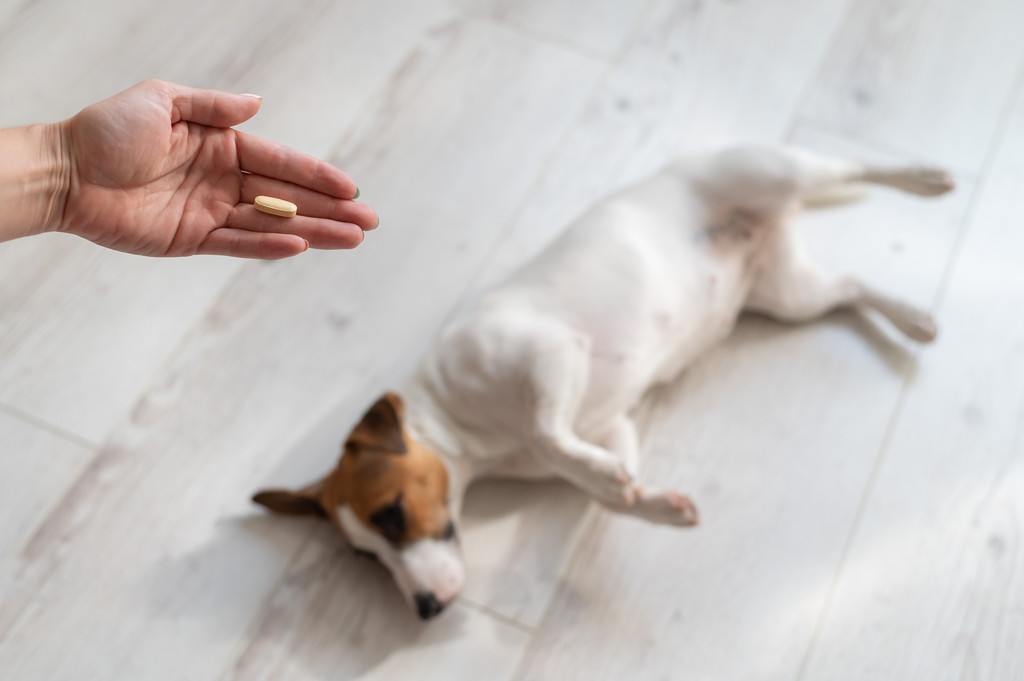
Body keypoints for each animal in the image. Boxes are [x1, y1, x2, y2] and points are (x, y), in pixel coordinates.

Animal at [251, 146, 954, 618]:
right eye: (365, 556)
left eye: (392, 515)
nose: (425, 610)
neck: (466, 431)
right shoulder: (609, 425)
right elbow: (609, 488)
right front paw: (652, 503)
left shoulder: (552, 352)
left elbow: (547, 430)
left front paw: (604, 476)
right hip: (790, 298)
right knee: (851, 289)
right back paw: (911, 316)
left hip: (777, 173)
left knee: (855, 166)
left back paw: (925, 177)